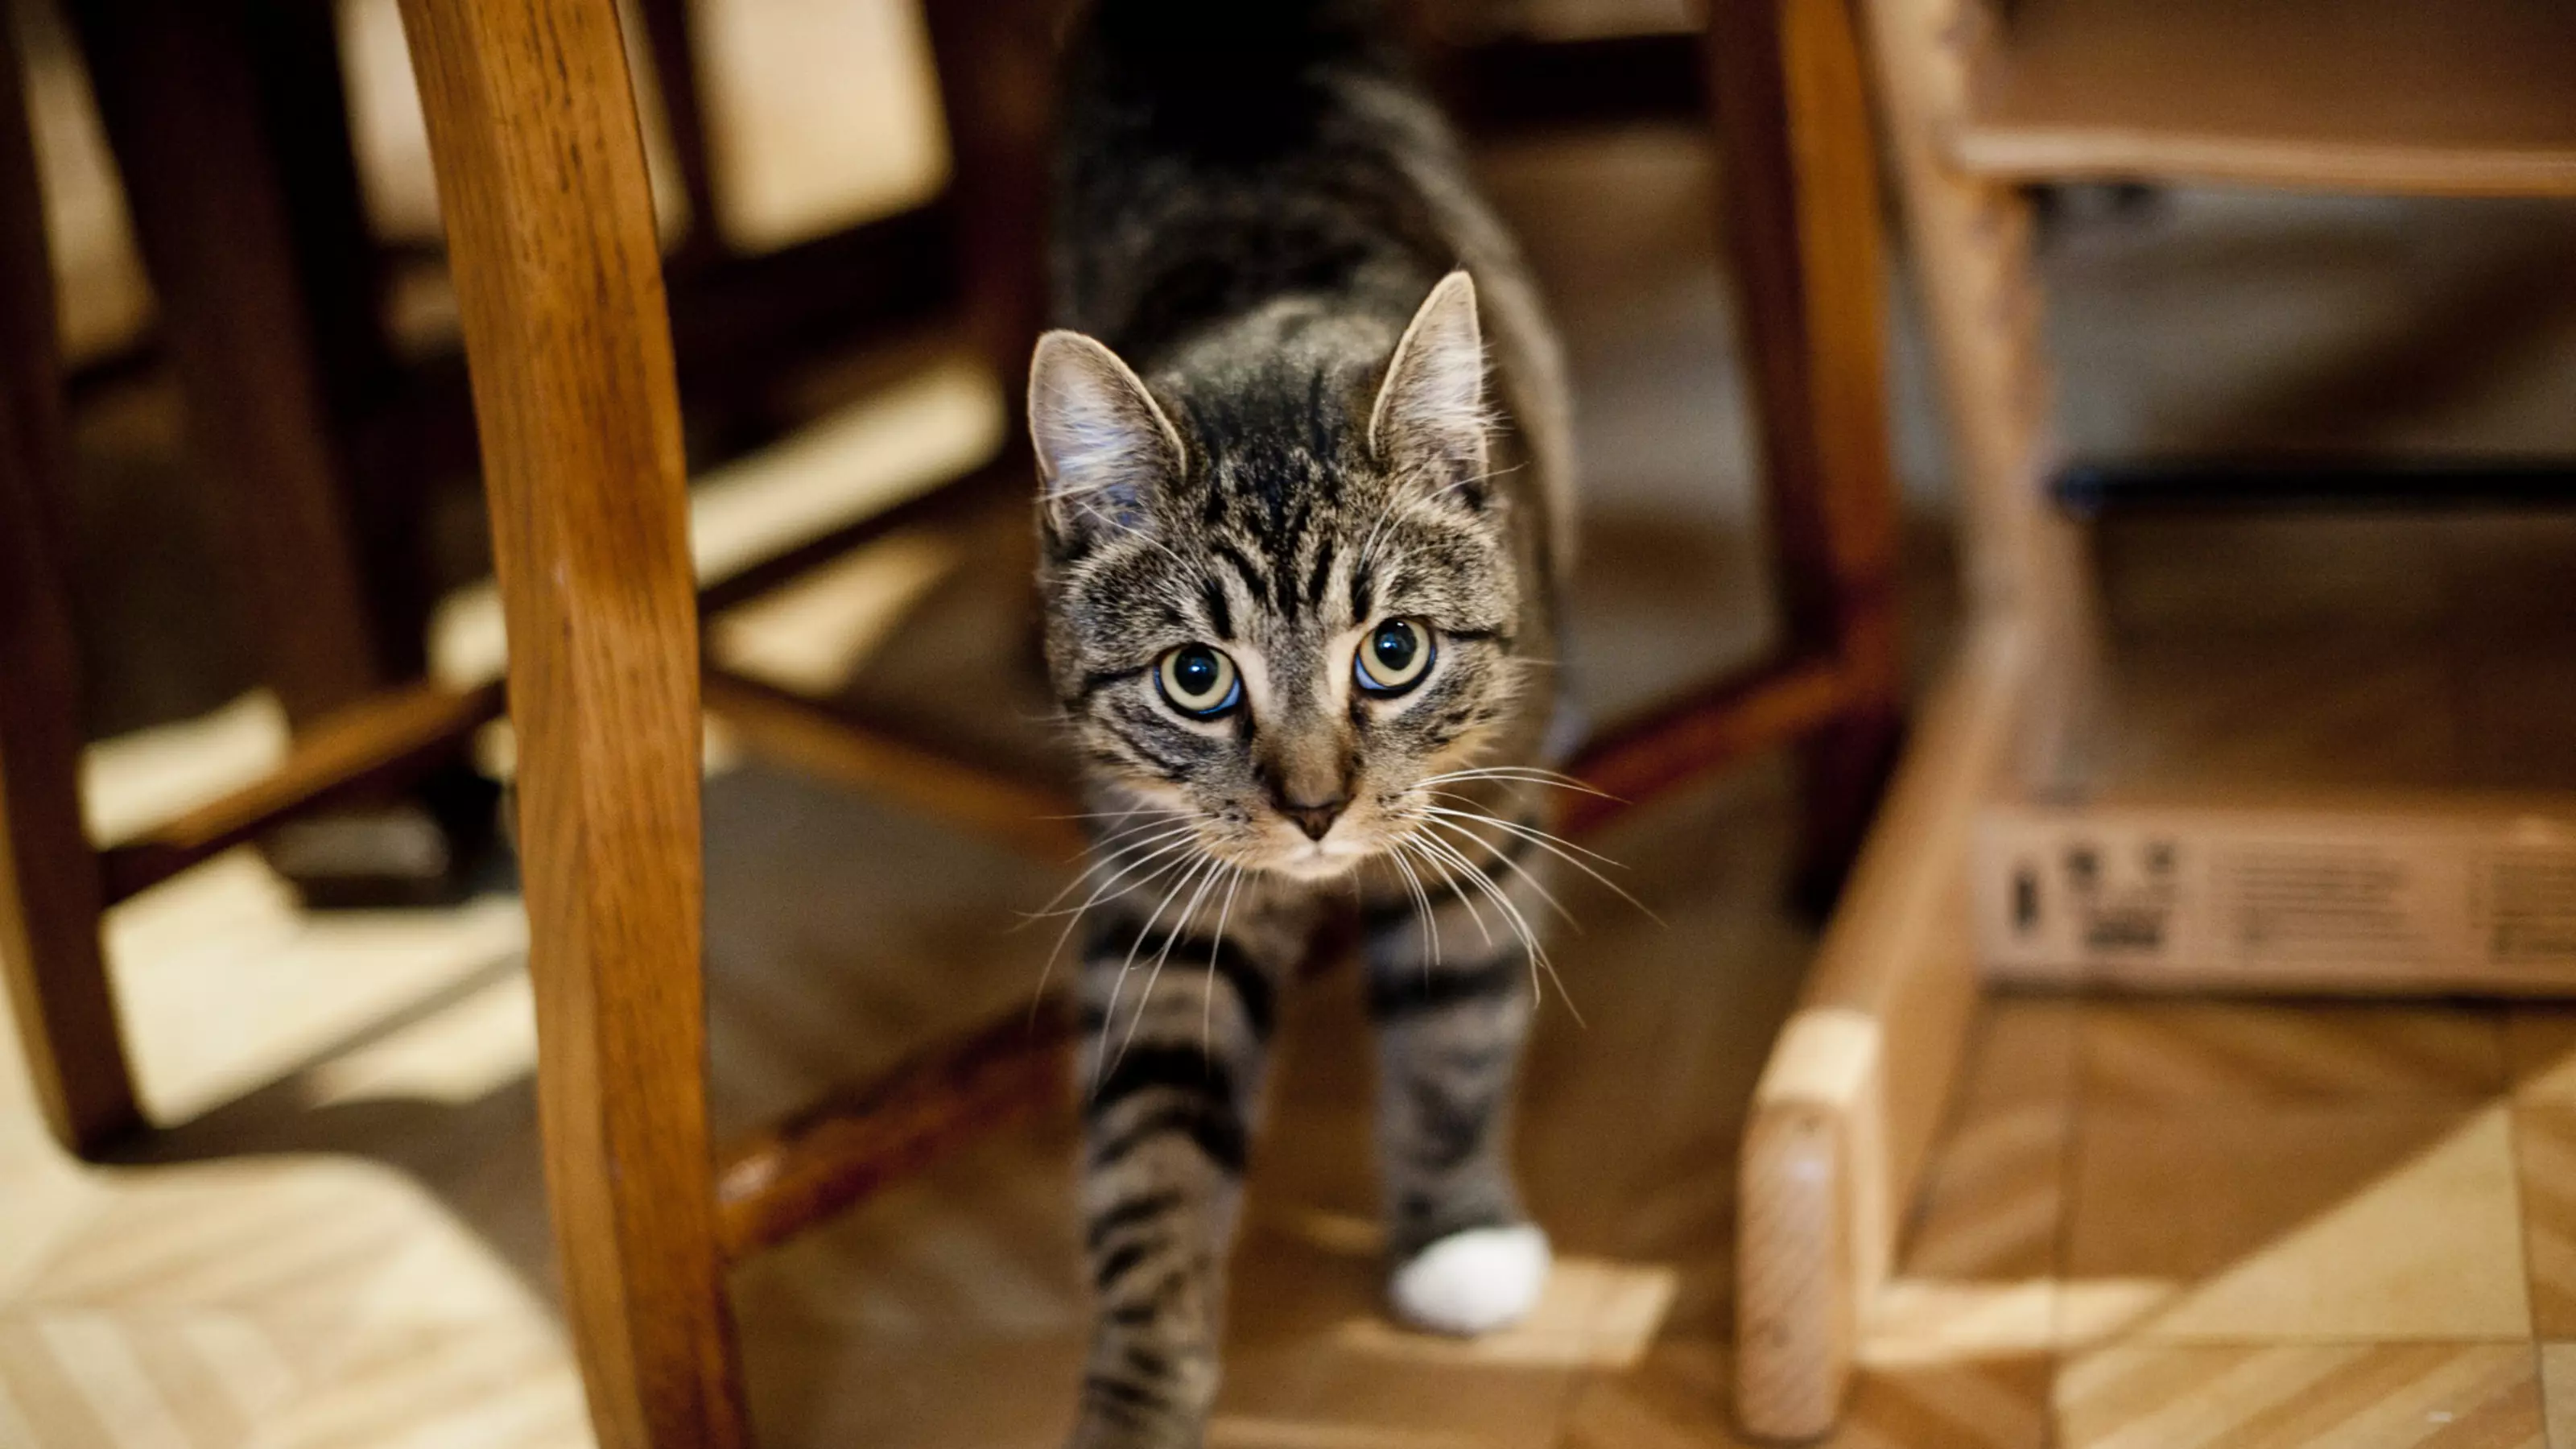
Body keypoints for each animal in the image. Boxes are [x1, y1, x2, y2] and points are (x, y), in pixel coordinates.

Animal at [1035, 6, 1576, 1433]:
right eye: (1196, 677)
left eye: (1392, 652)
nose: (1318, 807)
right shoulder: (1160, 895)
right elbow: (1151, 1147)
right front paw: (1137, 1396)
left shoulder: (1483, 814)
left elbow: (1457, 1026)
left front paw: (1456, 1238)